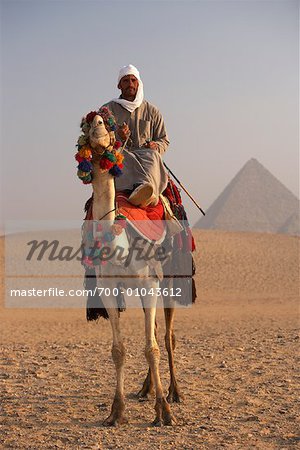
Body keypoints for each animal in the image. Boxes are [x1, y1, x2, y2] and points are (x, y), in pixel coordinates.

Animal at [75, 107, 185, 428]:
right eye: (85, 125)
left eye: (110, 128)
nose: (97, 123)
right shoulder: (108, 289)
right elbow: (118, 350)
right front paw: (116, 411)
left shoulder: (149, 283)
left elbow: (152, 348)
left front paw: (164, 413)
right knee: (156, 330)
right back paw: (145, 389)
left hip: (169, 279)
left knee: (167, 336)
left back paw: (173, 393)